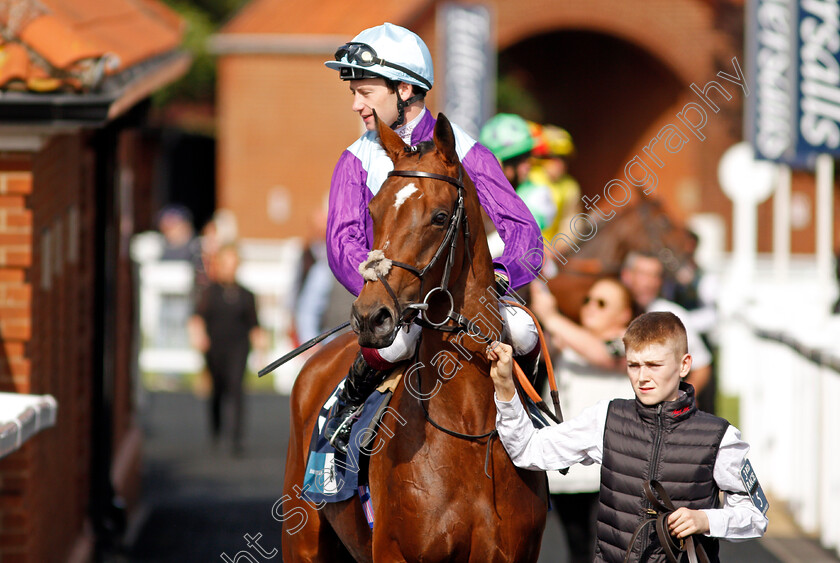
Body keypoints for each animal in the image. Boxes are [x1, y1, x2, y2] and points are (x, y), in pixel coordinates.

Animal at [278, 112, 548, 560]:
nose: (370, 317)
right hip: (300, 542)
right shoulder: (394, 550)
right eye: (374, 211)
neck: (469, 430)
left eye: (439, 217)